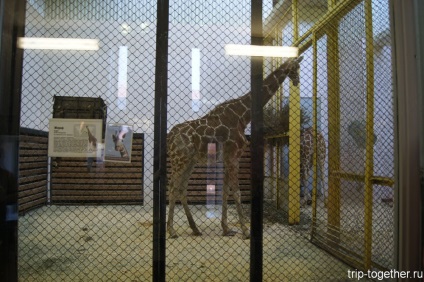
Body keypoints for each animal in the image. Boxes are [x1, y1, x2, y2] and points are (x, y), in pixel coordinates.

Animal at [167, 56, 304, 239]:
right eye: (295, 67)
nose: (297, 81)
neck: (243, 116)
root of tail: (169, 137)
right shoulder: (233, 156)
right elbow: (237, 192)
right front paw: (246, 231)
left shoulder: (228, 158)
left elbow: (226, 191)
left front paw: (226, 228)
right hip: (179, 160)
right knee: (172, 188)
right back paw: (172, 230)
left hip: (190, 161)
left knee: (181, 189)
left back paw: (195, 229)